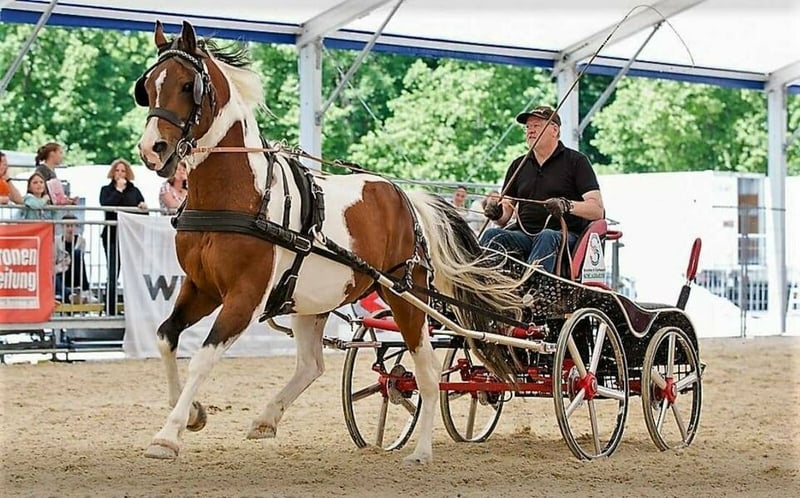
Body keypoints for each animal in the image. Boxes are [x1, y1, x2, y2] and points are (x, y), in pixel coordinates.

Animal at [134, 20, 528, 465]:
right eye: (147, 86)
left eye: (188, 86)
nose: (152, 149)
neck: (241, 195)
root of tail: (405, 198)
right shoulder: (200, 287)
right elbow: (166, 337)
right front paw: (192, 414)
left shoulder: (244, 296)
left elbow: (202, 357)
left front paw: (168, 435)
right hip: (312, 302)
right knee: (312, 365)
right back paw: (266, 418)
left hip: (406, 297)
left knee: (426, 371)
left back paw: (422, 450)